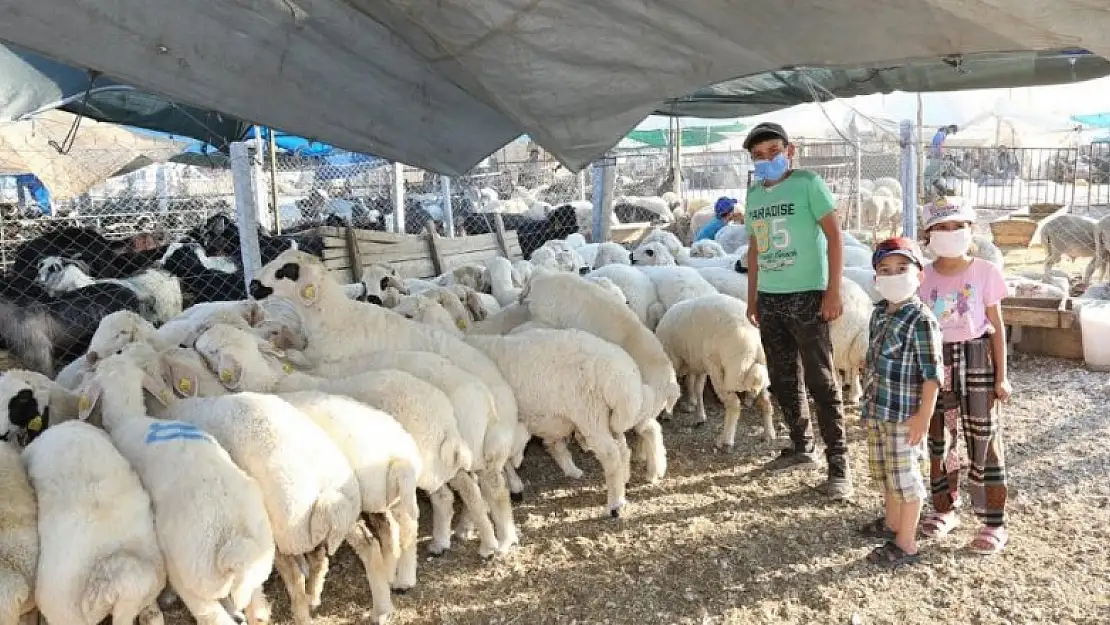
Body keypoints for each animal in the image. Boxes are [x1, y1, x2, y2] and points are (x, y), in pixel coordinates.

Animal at [652, 295, 777, 450]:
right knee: (766, 402)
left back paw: (726, 440)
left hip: (725, 372)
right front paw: (699, 416)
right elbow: (698, 389)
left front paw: (667, 414)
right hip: (761, 368)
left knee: (734, 405)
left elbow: (675, 388)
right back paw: (769, 433)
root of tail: (754, 342)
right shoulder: (701, 365)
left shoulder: (676, 361)